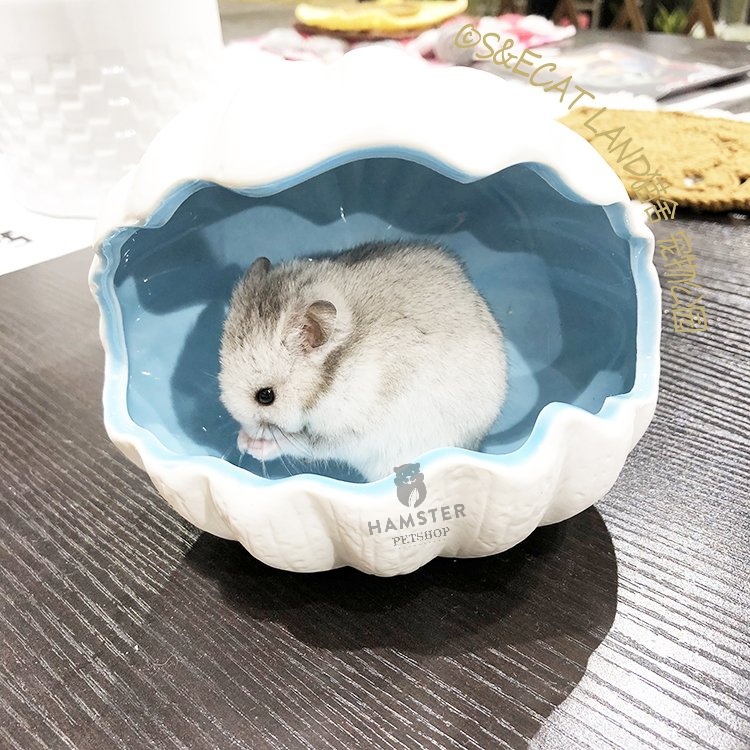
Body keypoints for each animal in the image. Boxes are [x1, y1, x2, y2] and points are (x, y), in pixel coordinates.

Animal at [218, 240, 507, 482]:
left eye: (266, 396)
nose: (243, 435)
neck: (332, 376)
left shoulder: (347, 435)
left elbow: (299, 443)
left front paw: (251, 445)